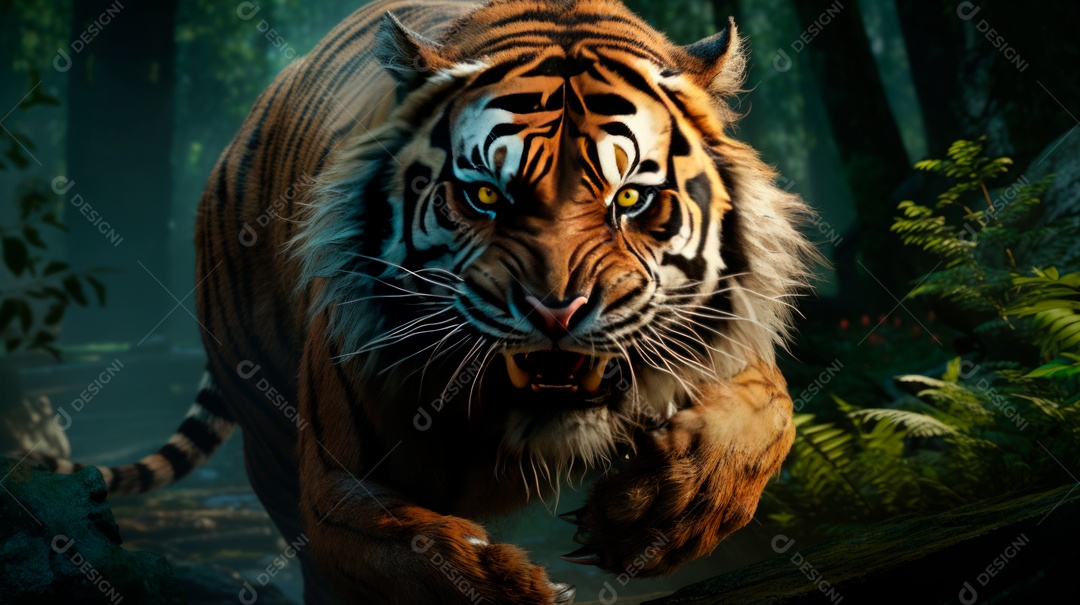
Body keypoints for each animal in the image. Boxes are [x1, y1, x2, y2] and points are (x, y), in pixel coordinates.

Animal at [42, 0, 816, 603]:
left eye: (629, 198)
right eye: (485, 195)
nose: (557, 312)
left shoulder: (736, 351)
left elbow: (765, 419)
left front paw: (660, 510)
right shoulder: (335, 481)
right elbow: (397, 545)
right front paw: (498, 584)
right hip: (263, 424)